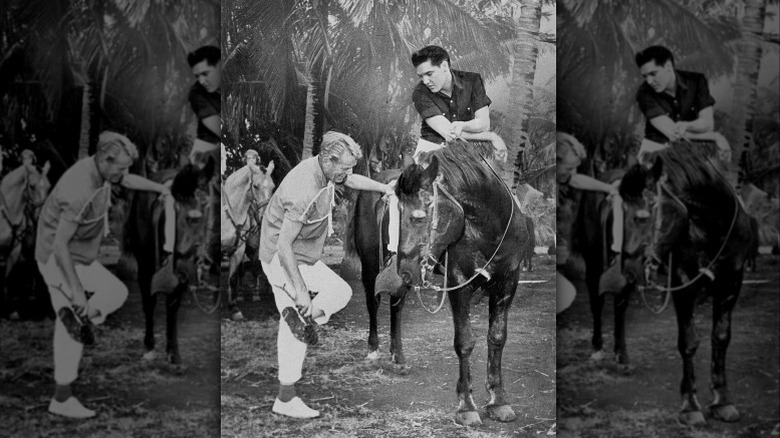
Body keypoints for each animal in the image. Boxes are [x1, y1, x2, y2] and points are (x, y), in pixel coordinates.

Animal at [125, 157, 216, 362]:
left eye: (205, 205)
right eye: (174, 208)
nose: (185, 266)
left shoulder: (181, 276)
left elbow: (172, 307)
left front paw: (173, 352)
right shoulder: (146, 269)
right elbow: (149, 302)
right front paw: (149, 346)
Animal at [358, 141, 532, 428]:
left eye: (419, 217)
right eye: (396, 211)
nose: (404, 269)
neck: (488, 229)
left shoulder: (508, 282)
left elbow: (497, 337)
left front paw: (498, 400)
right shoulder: (459, 284)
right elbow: (464, 341)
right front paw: (466, 406)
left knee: (396, 306)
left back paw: (398, 357)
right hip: (371, 264)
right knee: (373, 303)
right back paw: (373, 351)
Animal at [632, 144, 756, 428]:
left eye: (648, 210)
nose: (631, 264)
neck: (712, 229)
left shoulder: (731, 285)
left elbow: (720, 338)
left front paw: (722, 401)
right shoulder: (683, 286)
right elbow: (688, 342)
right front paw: (690, 406)